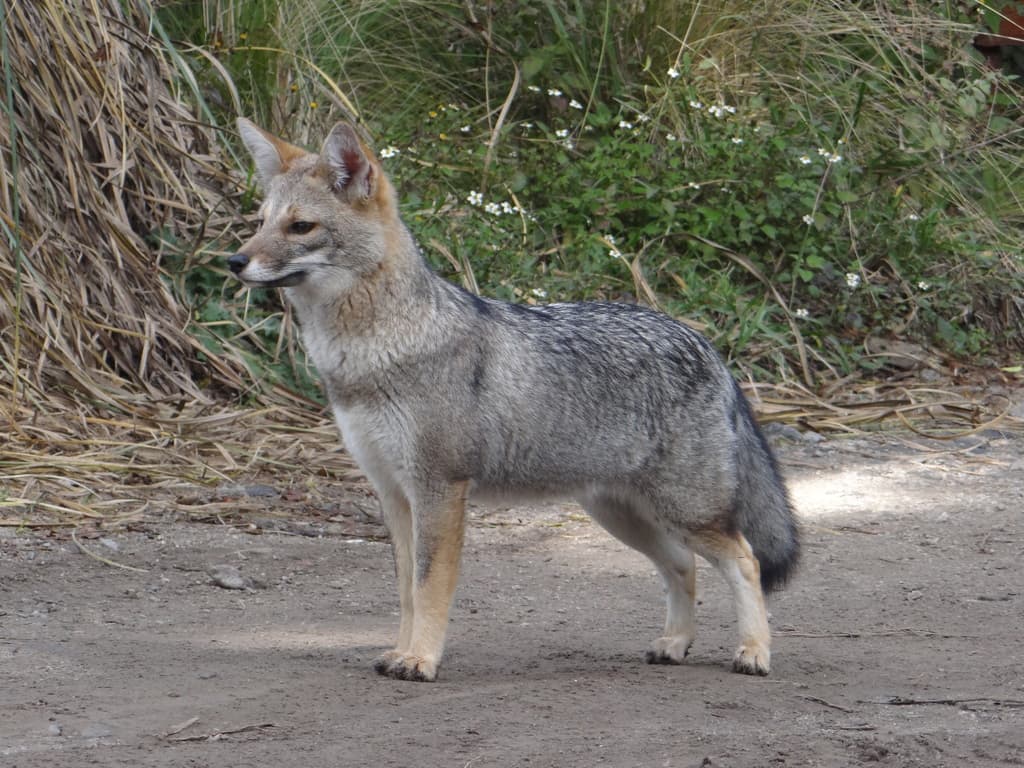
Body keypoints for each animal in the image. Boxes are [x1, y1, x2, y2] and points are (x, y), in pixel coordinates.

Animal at [228, 117, 800, 683]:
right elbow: (406, 591)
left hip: (686, 511)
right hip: (624, 515)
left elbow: (428, 586)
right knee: (683, 565)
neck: (372, 354)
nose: (234, 260)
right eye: (259, 222)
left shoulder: (440, 489)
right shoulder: (393, 492)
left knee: (744, 559)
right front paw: (402, 651)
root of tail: (703, 342)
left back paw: (754, 651)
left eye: (301, 227)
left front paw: (421, 659)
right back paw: (676, 643)